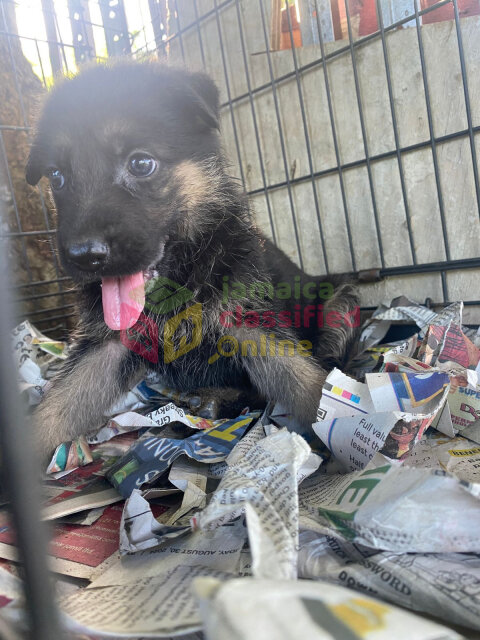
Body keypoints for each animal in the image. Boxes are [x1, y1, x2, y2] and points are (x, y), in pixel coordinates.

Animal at [25, 61, 356, 460]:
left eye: (141, 163)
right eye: (57, 176)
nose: (85, 256)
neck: (176, 283)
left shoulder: (250, 323)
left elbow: (304, 378)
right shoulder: (105, 347)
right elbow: (57, 406)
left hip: (341, 303)